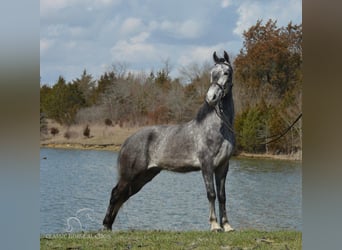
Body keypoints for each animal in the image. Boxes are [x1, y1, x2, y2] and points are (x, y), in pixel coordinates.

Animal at [101, 50, 235, 232]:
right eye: (211, 73)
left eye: (226, 72)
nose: (211, 97)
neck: (217, 127)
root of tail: (128, 141)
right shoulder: (207, 165)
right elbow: (211, 194)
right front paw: (215, 225)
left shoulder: (222, 166)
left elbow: (222, 196)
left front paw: (227, 226)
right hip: (130, 175)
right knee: (116, 194)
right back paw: (106, 225)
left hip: (144, 177)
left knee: (122, 196)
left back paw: (109, 226)